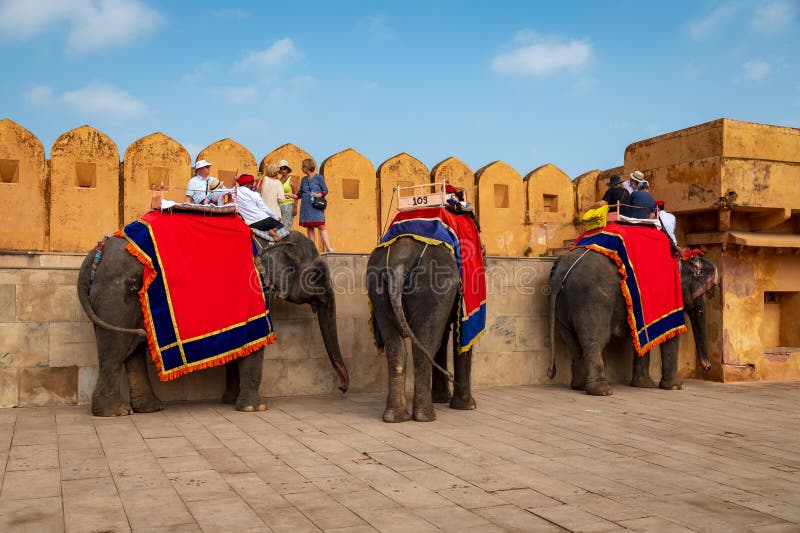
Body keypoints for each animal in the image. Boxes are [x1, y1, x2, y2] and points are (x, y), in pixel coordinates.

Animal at [77, 229, 346, 416]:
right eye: (316, 274)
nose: (343, 390)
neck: (271, 239)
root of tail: (95, 253)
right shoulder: (253, 293)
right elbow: (255, 343)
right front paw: (255, 409)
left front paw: (230, 401)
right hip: (115, 295)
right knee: (116, 348)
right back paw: (115, 413)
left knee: (133, 347)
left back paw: (148, 408)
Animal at [368, 235, 476, 422]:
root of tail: (399, 262)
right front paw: (467, 407)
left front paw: (443, 399)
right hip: (432, 288)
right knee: (426, 345)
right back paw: (427, 416)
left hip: (377, 288)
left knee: (396, 348)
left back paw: (395, 417)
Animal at [548, 249, 716, 394]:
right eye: (704, 292)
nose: (709, 367)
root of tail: (560, 273)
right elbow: (671, 334)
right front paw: (676, 387)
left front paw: (644, 385)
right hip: (592, 300)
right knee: (596, 340)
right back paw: (603, 391)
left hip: (564, 305)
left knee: (573, 342)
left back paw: (580, 386)